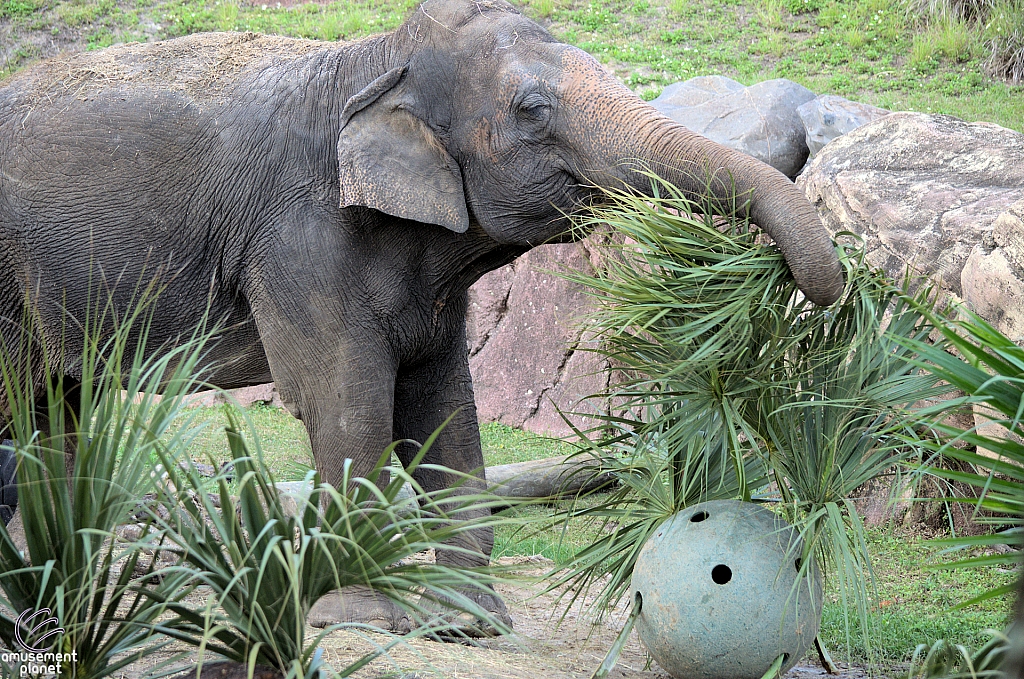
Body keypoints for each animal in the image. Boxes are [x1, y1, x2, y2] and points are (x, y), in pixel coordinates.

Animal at [0, 0, 843, 630]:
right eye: (532, 109)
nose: (806, 285)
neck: (371, 60)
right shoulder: (300, 235)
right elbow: (346, 401)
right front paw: (363, 615)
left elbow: (443, 408)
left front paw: (472, 622)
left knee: (53, 407)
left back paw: (65, 585)